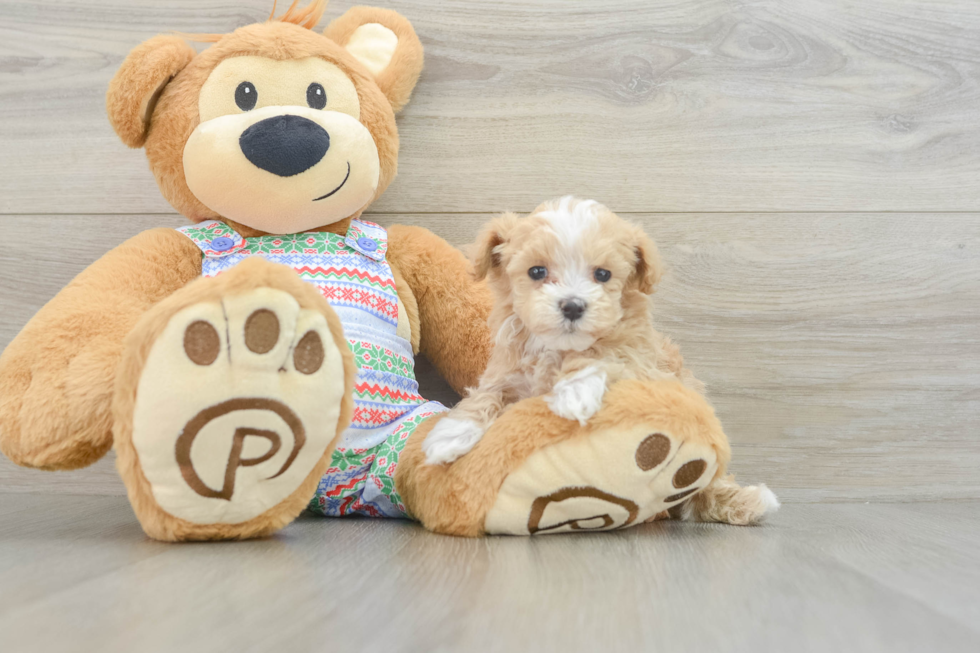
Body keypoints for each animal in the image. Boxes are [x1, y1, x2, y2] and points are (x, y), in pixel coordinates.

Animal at [424, 195, 776, 524]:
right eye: (537, 271)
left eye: (603, 274)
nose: (573, 306)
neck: (559, 349)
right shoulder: (506, 372)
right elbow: (487, 394)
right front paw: (450, 434)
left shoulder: (645, 368)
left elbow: (604, 355)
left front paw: (574, 392)